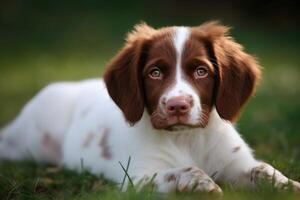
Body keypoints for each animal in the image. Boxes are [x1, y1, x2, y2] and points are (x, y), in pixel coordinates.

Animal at [0, 21, 300, 193]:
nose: (177, 106)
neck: (187, 138)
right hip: (27, 143)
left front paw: (287, 184)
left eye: (201, 71)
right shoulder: (138, 177)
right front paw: (199, 182)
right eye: (154, 73)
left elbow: (263, 170)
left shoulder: (236, 163)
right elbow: (178, 171)